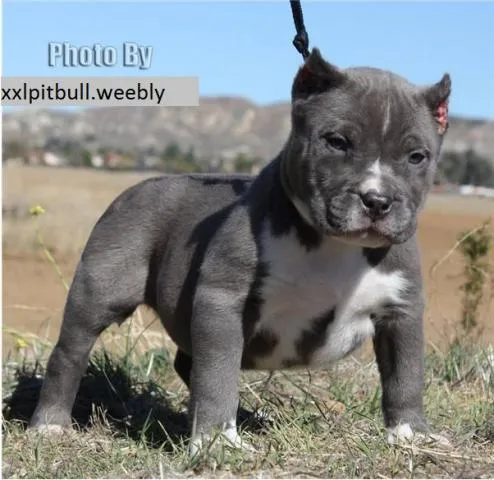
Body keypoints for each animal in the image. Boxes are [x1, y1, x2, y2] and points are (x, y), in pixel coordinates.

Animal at [27, 47, 452, 454]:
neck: (334, 243)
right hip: (99, 292)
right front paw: (216, 442)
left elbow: (405, 376)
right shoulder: (223, 301)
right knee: (71, 353)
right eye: (337, 142)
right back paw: (50, 424)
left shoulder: (401, 312)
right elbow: (218, 374)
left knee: (190, 363)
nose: (377, 200)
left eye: (417, 157)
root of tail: (137, 186)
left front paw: (411, 434)